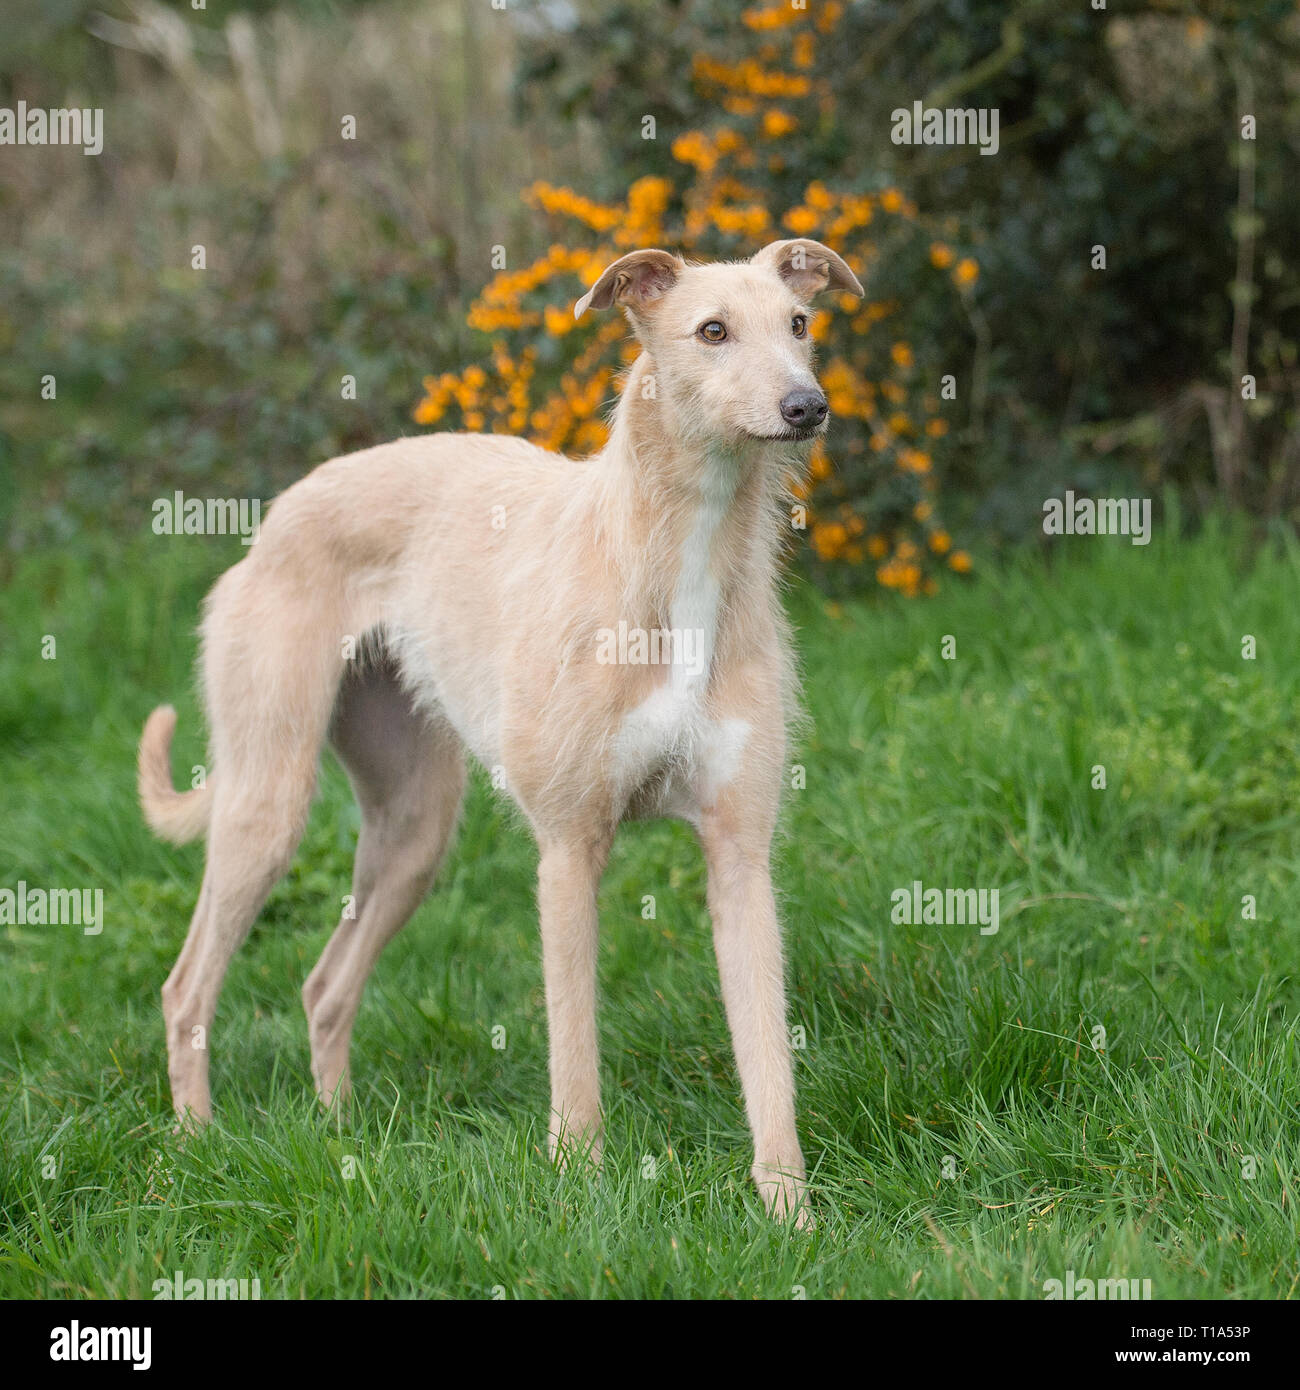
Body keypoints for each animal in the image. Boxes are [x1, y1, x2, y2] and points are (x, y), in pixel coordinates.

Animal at [139, 239, 862, 1228]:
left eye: (799, 324)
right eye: (712, 331)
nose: (806, 407)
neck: (666, 559)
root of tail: (282, 510)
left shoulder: (741, 856)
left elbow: (768, 1059)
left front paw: (791, 1219)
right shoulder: (567, 850)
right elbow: (574, 1053)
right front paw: (581, 1189)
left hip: (413, 832)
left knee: (325, 987)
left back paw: (338, 1134)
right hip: (267, 801)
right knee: (186, 990)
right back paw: (194, 1145)